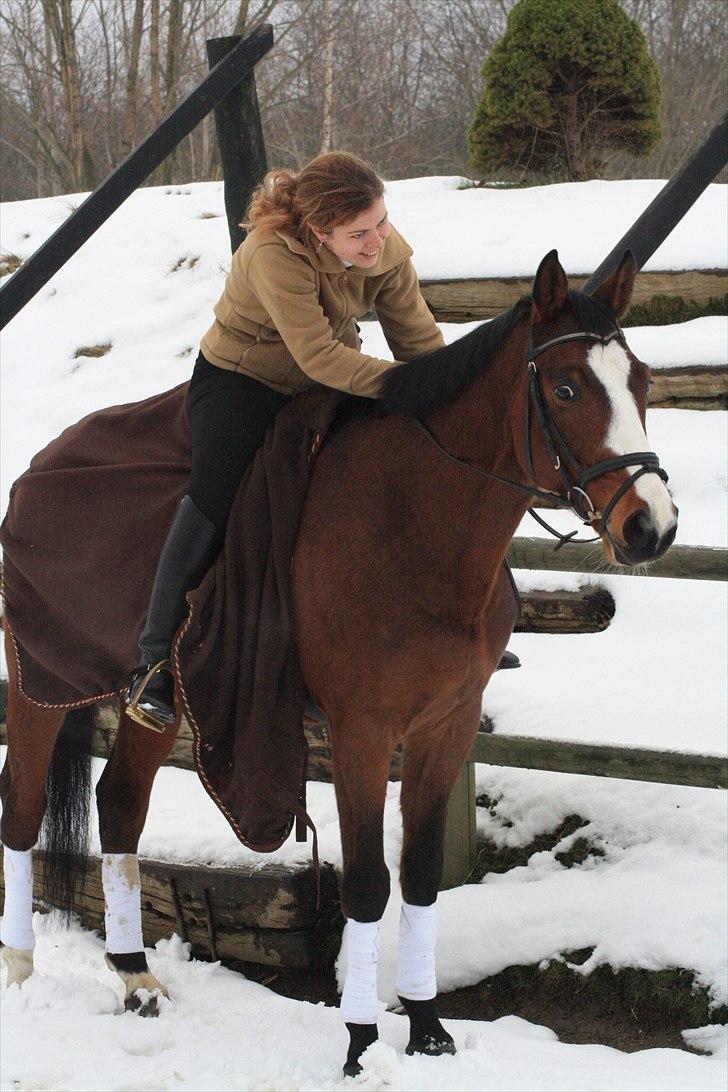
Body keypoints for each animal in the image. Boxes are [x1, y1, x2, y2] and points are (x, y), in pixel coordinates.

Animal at [2, 250, 681, 1074]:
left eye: (641, 380)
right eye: (567, 387)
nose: (651, 526)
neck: (413, 524)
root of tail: (38, 468)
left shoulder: (445, 725)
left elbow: (418, 874)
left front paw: (427, 1029)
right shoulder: (362, 732)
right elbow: (365, 884)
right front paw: (361, 1041)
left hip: (156, 707)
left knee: (121, 805)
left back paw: (134, 977)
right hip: (37, 685)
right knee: (21, 809)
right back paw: (20, 968)